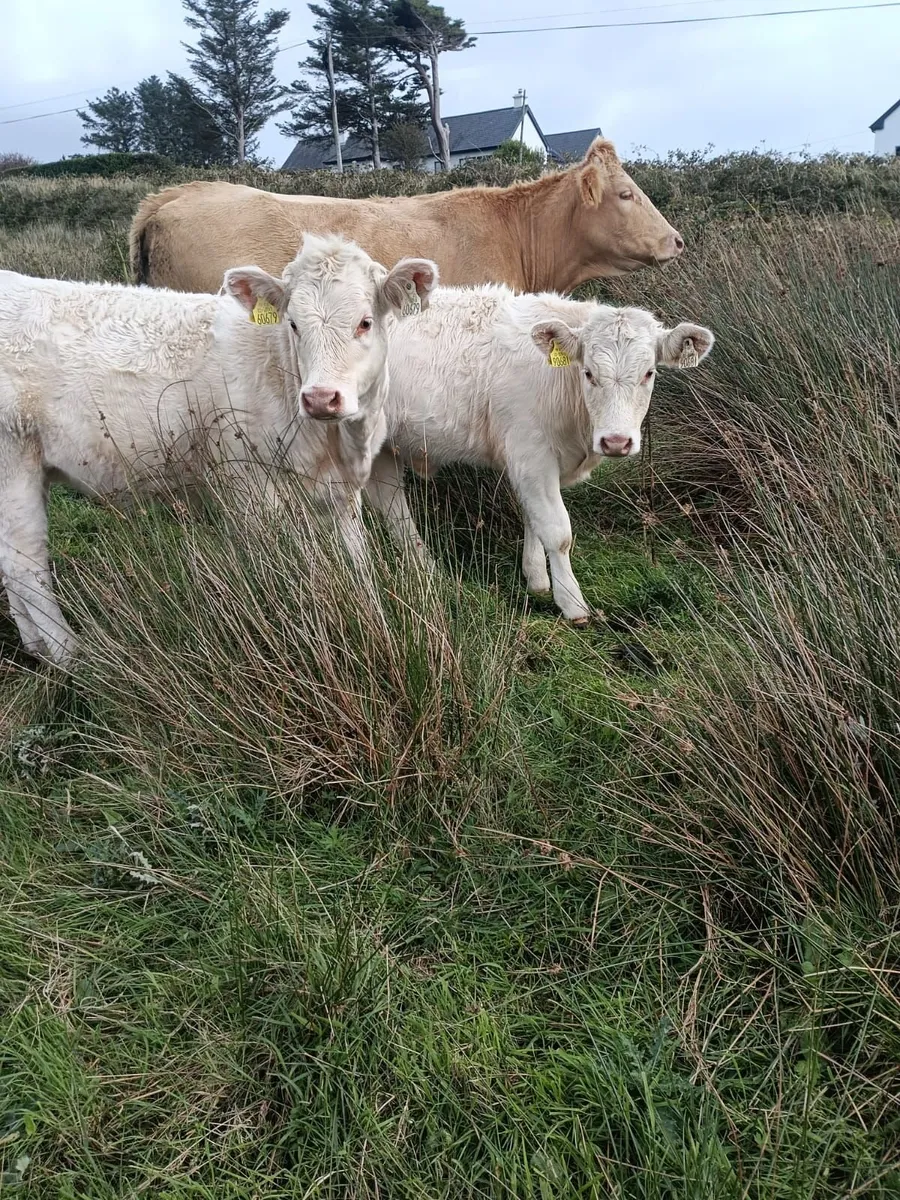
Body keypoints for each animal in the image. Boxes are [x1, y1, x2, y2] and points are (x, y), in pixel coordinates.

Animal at [0, 234, 438, 665]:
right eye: (294, 324)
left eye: (365, 322)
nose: (320, 398)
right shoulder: (250, 487)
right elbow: (287, 568)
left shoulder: (341, 490)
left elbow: (357, 559)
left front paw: (373, 621)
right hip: (13, 463)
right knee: (25, 564)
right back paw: (69, 655)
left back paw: (37, 649)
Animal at [364, 288, 714, 624]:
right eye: (589, 373)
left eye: (649, 373)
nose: (616, 442)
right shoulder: (531, 455)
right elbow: (557, 532)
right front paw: (572, 604)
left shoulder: (533, 464)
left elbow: (532, 517)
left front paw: (537, 579)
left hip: (383, 450)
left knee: (392, 504)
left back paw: (425, 569)